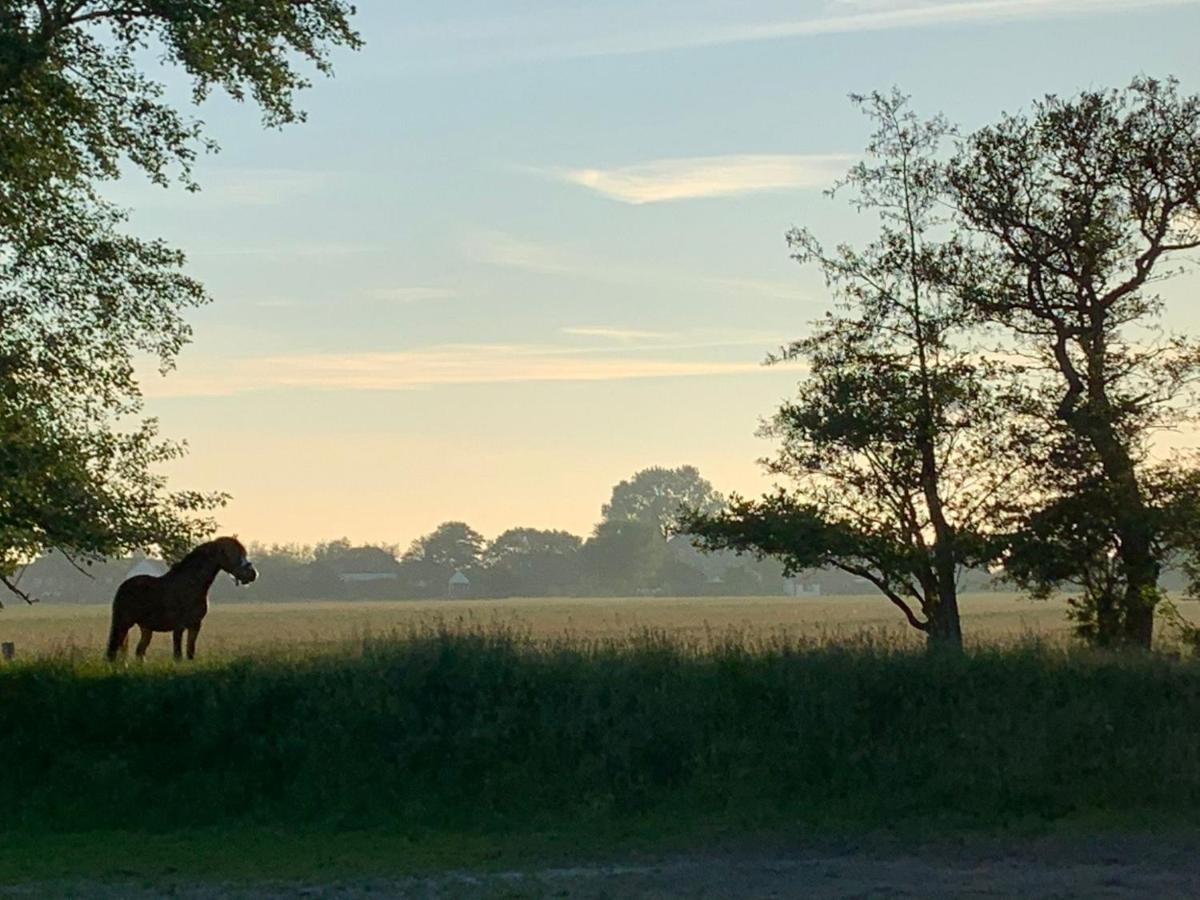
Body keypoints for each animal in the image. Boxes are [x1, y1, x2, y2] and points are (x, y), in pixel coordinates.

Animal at [107, 535, 258, 662]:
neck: (190, 584)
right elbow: (178, 655)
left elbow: (190, 652)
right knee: (115, 651)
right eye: (233, 554)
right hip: (124, 624)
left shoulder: (195, 625)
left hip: (146, 628)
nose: (252, 574)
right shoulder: (178, 626)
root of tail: (124, 586)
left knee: (139, 652)